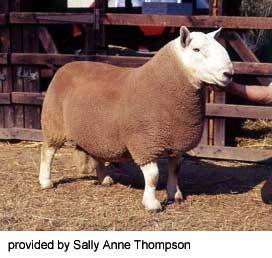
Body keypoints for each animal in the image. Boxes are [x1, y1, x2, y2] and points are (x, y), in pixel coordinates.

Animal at [39, 26, 234, 211]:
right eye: (196, 49)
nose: (229, 74)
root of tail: (66, 66)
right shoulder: (144, 142)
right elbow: (153, 176)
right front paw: (151, 204)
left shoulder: (176, 142)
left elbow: (175, 169)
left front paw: (175, 195)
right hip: (53, 123)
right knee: (47, 152)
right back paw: (46, 181)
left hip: (94, 131)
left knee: (96, 154)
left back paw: (104, 179)